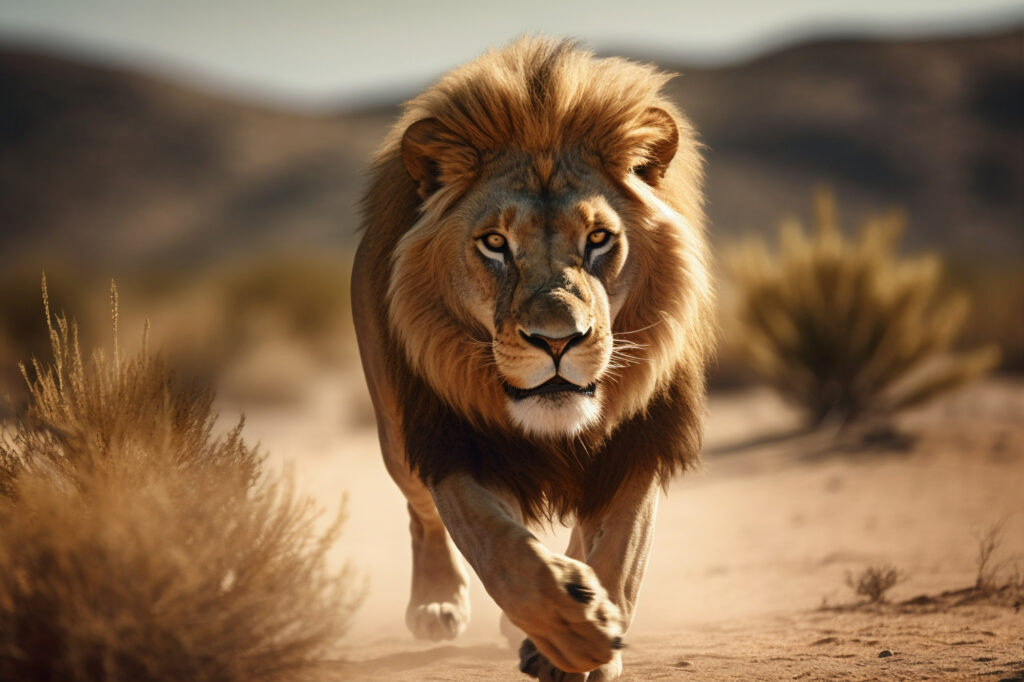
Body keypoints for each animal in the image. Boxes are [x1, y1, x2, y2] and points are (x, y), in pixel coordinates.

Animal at [351, 37, 714, 680]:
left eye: (598, 239)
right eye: (495, 243)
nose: (558, 341)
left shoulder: (640, 440)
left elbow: (621, 550)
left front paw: (589, 637)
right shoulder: (453, 439)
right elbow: (500, 548)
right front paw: (569, 625)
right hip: (395, 430)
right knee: (420, 511)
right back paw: (437, 602)